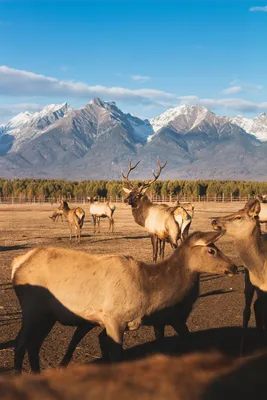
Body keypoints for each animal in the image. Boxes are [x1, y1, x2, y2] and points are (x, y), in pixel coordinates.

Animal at [12, 230, 237, 374]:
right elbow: (116, 354)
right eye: (211, 250)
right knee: (20, 343)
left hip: (47, 316)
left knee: (34, 344)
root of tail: (17, 264)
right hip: (32, 310)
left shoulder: (160, 321)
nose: (233, 267)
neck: (150, 293)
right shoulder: (113, 319)